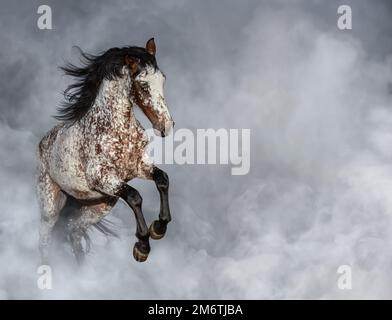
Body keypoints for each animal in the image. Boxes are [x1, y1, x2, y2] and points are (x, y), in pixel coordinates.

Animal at [37, 38, 175, 262]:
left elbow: (162, 179)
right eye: (144, 85)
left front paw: (158, 228)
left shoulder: (138, 167)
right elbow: (135, 197)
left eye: (162, 79)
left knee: (73, 230)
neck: (117, 129)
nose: (166, 126)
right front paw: (142, 246)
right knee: (45, 241)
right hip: (50, 206)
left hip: (100, 206)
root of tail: (43, 143)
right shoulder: (101, 177)